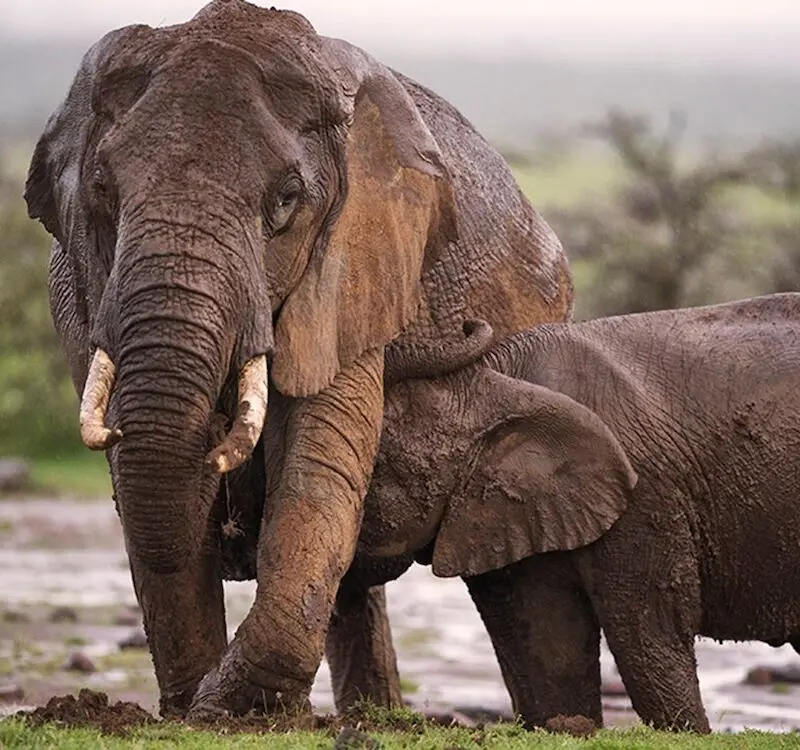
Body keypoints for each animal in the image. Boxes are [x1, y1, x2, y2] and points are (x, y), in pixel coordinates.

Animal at [23, 0, 573, 719]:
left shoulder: (355, 267)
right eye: (102, 192)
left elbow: (317, 461)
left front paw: (231, 713)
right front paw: (195, 710)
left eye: (285, 200)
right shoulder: (78, 291)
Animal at [356, 293, 800, 733]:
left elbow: (648, 628)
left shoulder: (645, 499)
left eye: (371, 471)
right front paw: (569, 725)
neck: (494, 379)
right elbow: (546, 642)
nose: (467, 323)